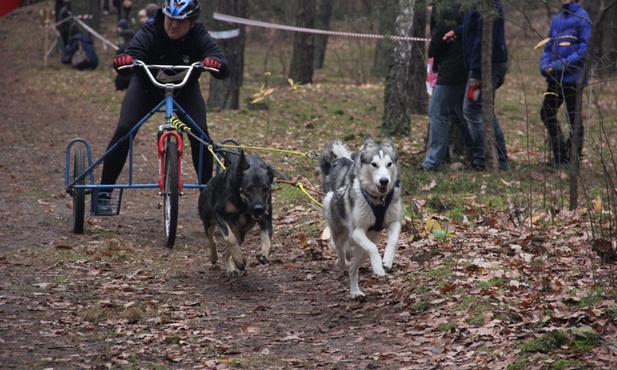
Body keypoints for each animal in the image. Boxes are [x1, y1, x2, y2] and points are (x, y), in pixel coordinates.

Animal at [320, 136, 402, 298]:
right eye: (374, 164)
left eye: (389, 164)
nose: (384, 180)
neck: (379, 201)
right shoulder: (357, 231)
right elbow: (373, 248)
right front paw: (377, 267)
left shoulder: (393, 222)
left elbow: (393, 240)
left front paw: (387, 260)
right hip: (340, 234)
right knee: (341, 251)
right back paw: (341, 263)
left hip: (363, 251)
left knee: (353, 268)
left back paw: (355, 291)